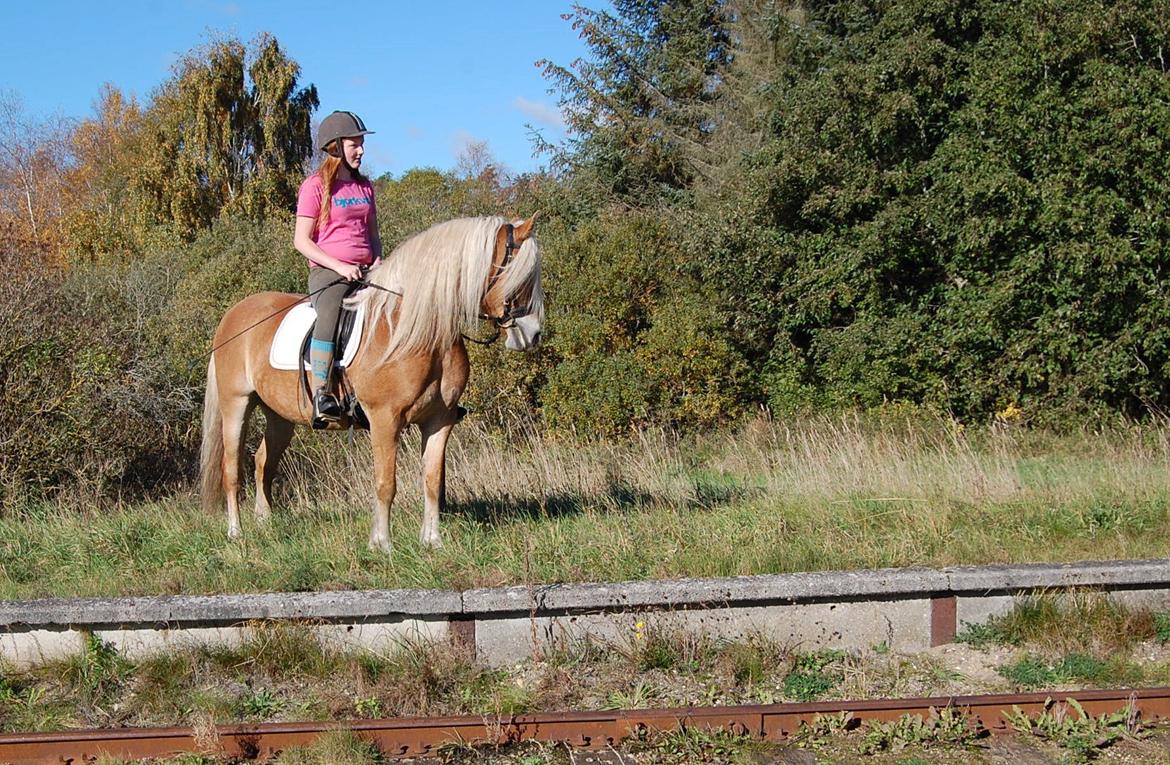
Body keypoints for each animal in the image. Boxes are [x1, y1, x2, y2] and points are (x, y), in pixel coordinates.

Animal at [200, 214, 542, 552]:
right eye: (522, 276)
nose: (533, 333)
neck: (412, 330)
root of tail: (232, 317)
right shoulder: (384, 419)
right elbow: (386, 483)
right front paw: (381, 543)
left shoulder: (439, 420)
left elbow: (432, 480)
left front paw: (432, 541)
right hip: (236, 405)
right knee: (232, 470)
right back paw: (236, 532)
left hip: (279, 415)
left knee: (263, 462)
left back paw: (265, 523)